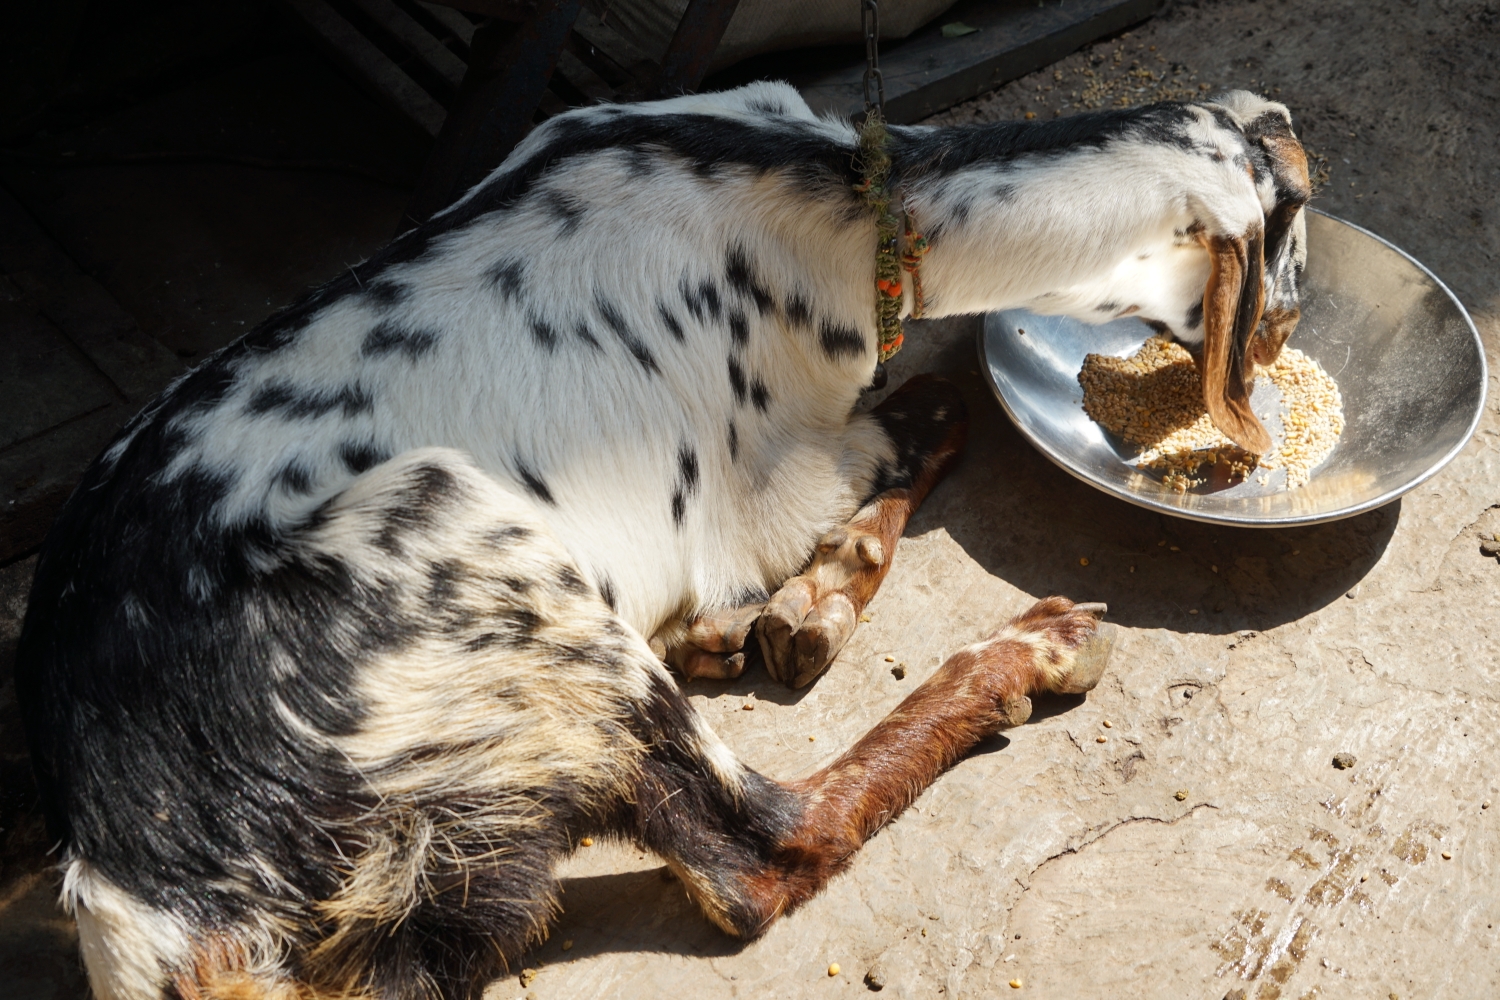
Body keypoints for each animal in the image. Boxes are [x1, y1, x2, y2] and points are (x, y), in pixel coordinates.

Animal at [11, 80, 1308, 1000]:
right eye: (1286, 257)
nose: (1286, 340)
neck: (849, 194)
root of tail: (147, 893)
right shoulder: (786, 475)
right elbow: (943, 412)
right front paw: (824, 589)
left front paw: (788, 607)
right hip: (471, 534)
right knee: (761, 850)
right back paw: (1016, 658)